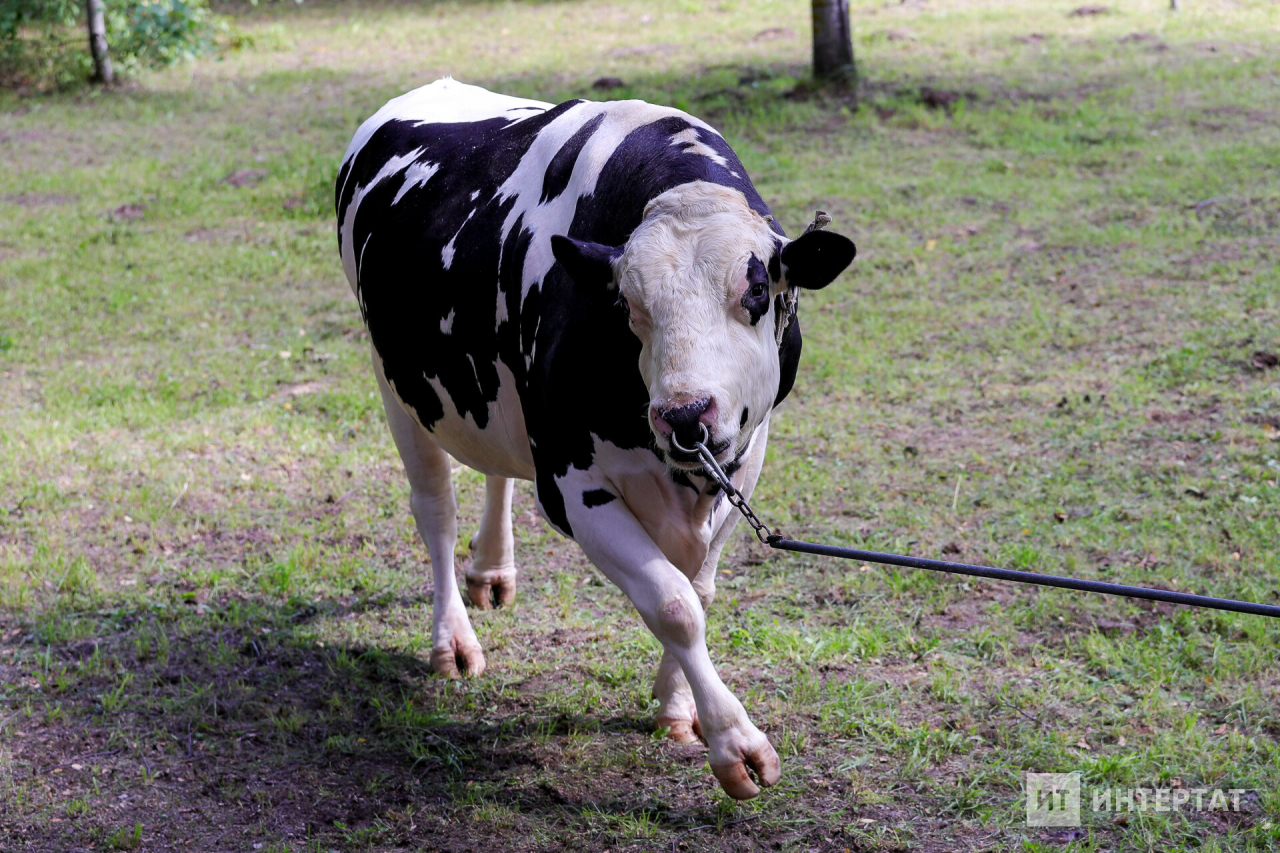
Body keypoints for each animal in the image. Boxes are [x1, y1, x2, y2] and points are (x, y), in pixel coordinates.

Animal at [340, 79, 855, 799]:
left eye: (756, 290)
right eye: (628, 305)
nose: (684, 414)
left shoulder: (746, 455)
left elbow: (698, 589)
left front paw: (677, 707)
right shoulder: (571, 484)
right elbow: (674, 603)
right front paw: (736, 744)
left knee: (497, 467)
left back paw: (492, 569)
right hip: (396, 382)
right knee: (435, 510)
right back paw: (453, 640)